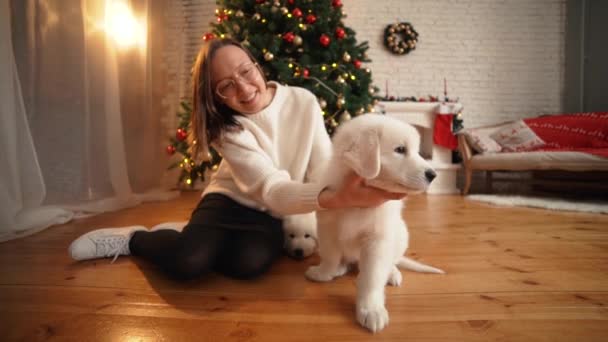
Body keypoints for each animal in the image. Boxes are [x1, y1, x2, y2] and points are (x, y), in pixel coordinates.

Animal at [306, 113, 444, 332]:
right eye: (400, 150)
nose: (433, 175)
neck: (359, 205)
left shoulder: (378, 240)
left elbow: (372, 276)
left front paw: (371, 310)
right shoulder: (328, 227)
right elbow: (330, 255)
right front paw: (324, 273)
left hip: (401, 233)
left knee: (392, 261)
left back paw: (392, 273)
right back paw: (341, 267)